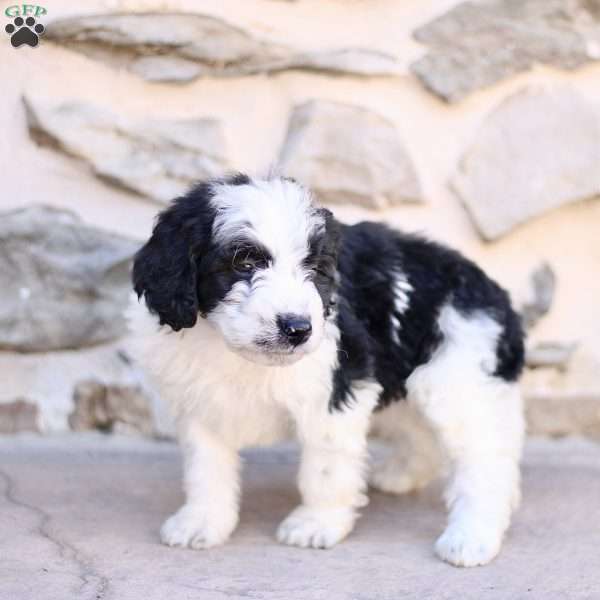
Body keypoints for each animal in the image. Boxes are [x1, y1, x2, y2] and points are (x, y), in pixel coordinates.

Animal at [127, 173, 524, 568]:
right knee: (422, 432)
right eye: (244, 263)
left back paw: (472, 537)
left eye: (315, 269)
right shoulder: (200, 404)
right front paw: (201, 521)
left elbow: (325, 470)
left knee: (485, 462)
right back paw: (401, 475)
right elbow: (205, 469)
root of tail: (493, 292)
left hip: (458, 379)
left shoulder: (336, 391)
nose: (298, 328)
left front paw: (317, 523)